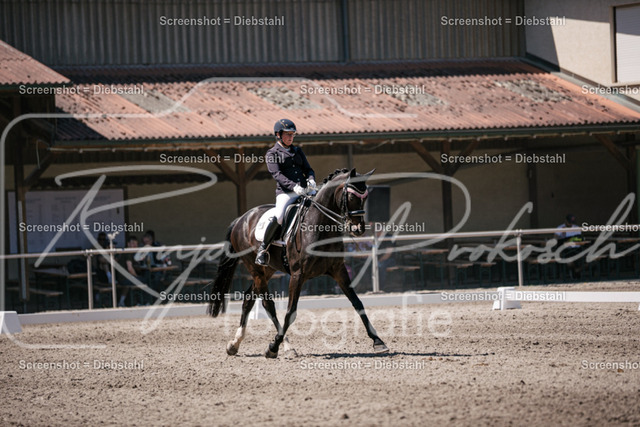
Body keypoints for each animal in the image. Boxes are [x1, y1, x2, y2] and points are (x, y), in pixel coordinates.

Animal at [207, 168, 389, 358]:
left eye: (365, 198)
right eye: (352, 197)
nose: (358, 229)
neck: (319, 225)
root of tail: (241, 219)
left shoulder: (338, 270)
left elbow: (358, 303)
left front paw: (378, 341)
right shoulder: (297, 275)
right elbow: (290, 312)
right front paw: (272, 347)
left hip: (267, 270)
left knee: (249, 298)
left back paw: (234, 344)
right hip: (255, 268)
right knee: (267, 304)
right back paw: (284, 345)